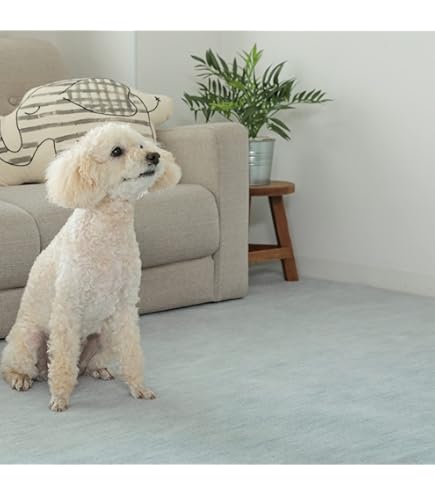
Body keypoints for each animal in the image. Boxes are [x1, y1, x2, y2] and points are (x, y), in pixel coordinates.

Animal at [0, 122, 181, 412]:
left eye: (142, 145)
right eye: (116, 151)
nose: (154, 156)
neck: (108, 228)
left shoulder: (125, 308)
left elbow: (132, 352)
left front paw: (138, 387)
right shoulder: (67, 308)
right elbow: (63, 360)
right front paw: (60, 398)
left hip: (105, 334)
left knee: (85, 366)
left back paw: (99, 370)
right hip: (28, 338)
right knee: (18, 366)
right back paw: (20, 378)